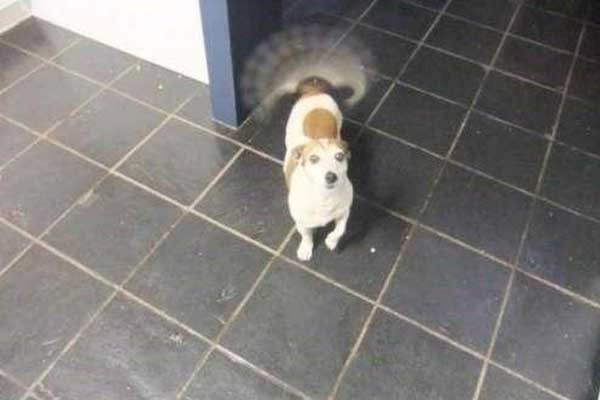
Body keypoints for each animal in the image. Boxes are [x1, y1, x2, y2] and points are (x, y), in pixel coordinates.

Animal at [284, 77, 353, 261]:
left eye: (339, 156)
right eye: (313, 159)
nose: (331, 176)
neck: (324, 198)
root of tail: (313, 92)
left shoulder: (344, 212)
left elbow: (341, 229)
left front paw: (331, 241)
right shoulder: (301, 222)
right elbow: (306, 235)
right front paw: (305, 249)